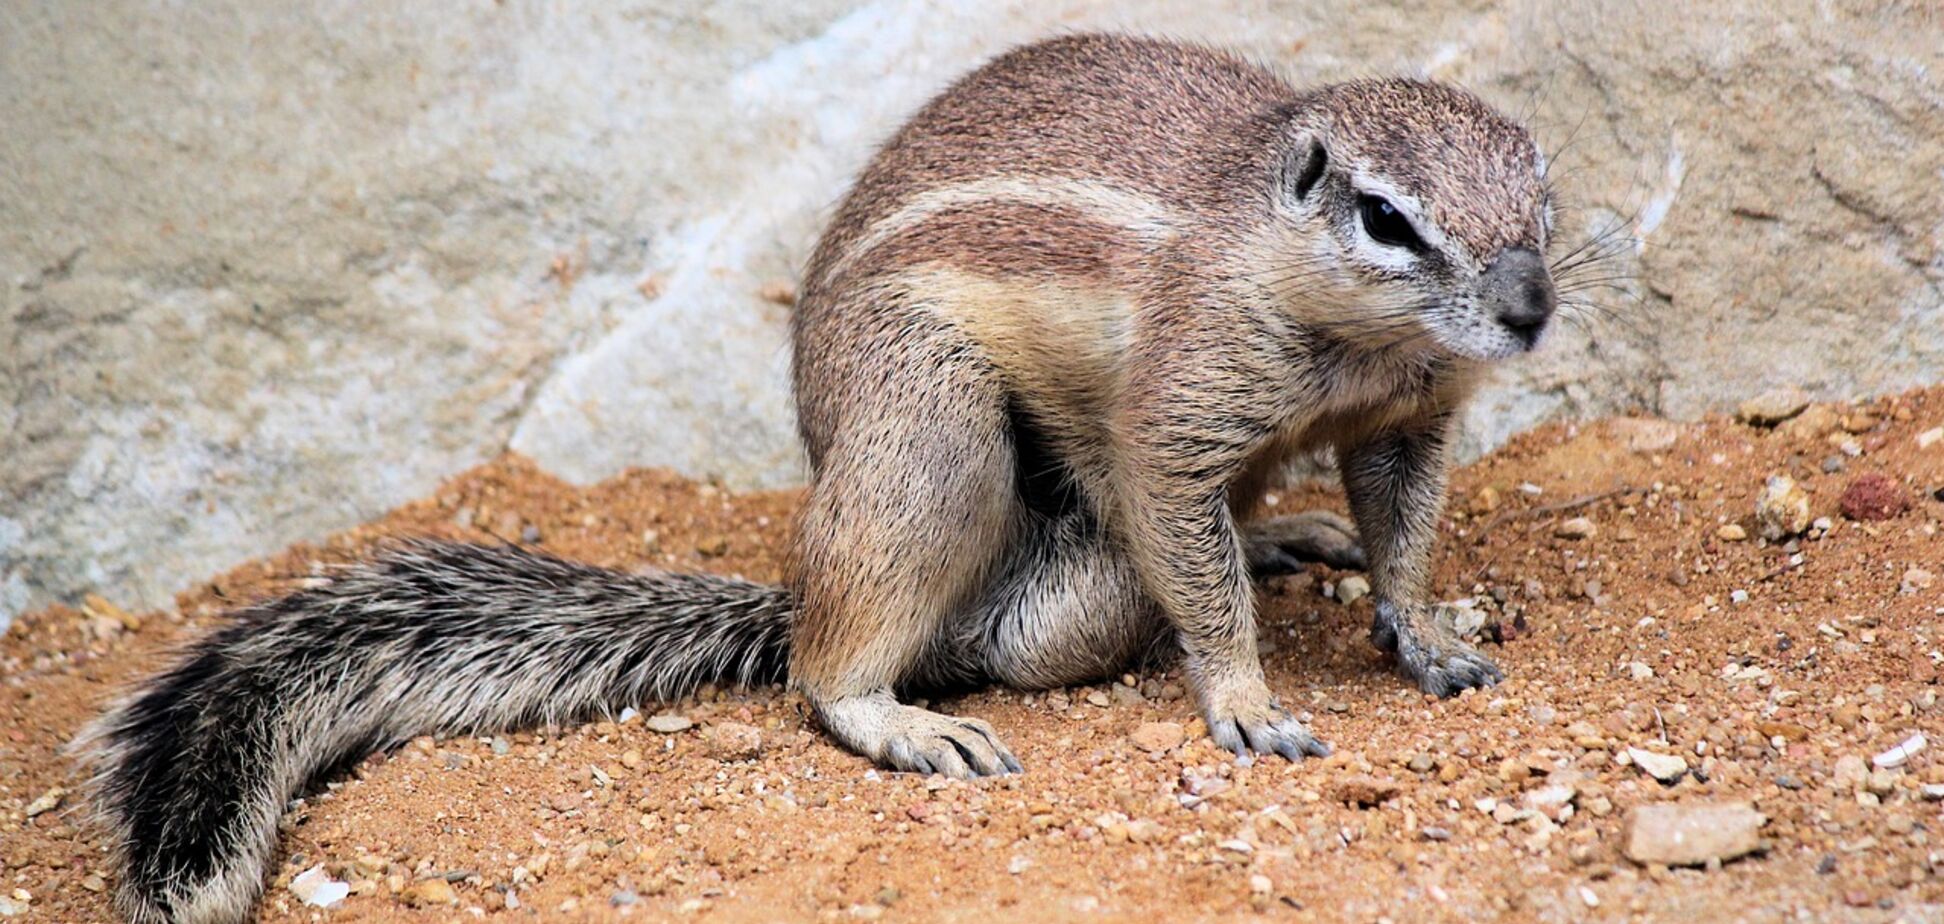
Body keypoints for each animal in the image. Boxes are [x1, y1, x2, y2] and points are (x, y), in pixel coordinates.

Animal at [78, 33, 1556, 923]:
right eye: (1386, 219)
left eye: (1543, 201)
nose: (1534, 311)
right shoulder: (1182, 406)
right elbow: (1180, 536)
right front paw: (1246, 700)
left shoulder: (1409, 419)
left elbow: (1404, 527)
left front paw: (1425, 632)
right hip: (930, 437)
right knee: (868, 650)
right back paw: (894, 713)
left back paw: (1287, 536)